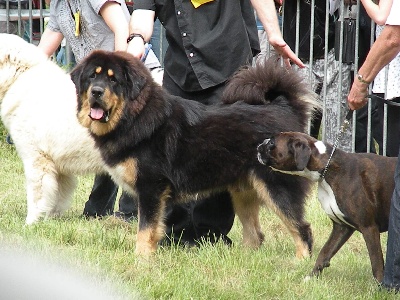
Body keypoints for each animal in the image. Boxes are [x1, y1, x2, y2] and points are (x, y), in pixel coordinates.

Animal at [69, 50, 318, 258]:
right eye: (92, 77)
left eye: (113, 80)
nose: (96, 92)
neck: (134, 118)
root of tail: (285, 108)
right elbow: (154, 228)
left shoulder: (151, 188)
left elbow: (145, 229)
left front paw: (141, 259)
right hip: (243, 191)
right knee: (256, 235)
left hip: (277, 189)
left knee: (302, 228)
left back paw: (300, 263)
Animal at [258, 131, 396, 282]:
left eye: (272, 142)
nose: (259, 145)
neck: (328, 168)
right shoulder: (341, 227)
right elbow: (325, 252)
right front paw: (312, 277)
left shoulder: (369, 227)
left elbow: (376, 262)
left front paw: (380, 285)